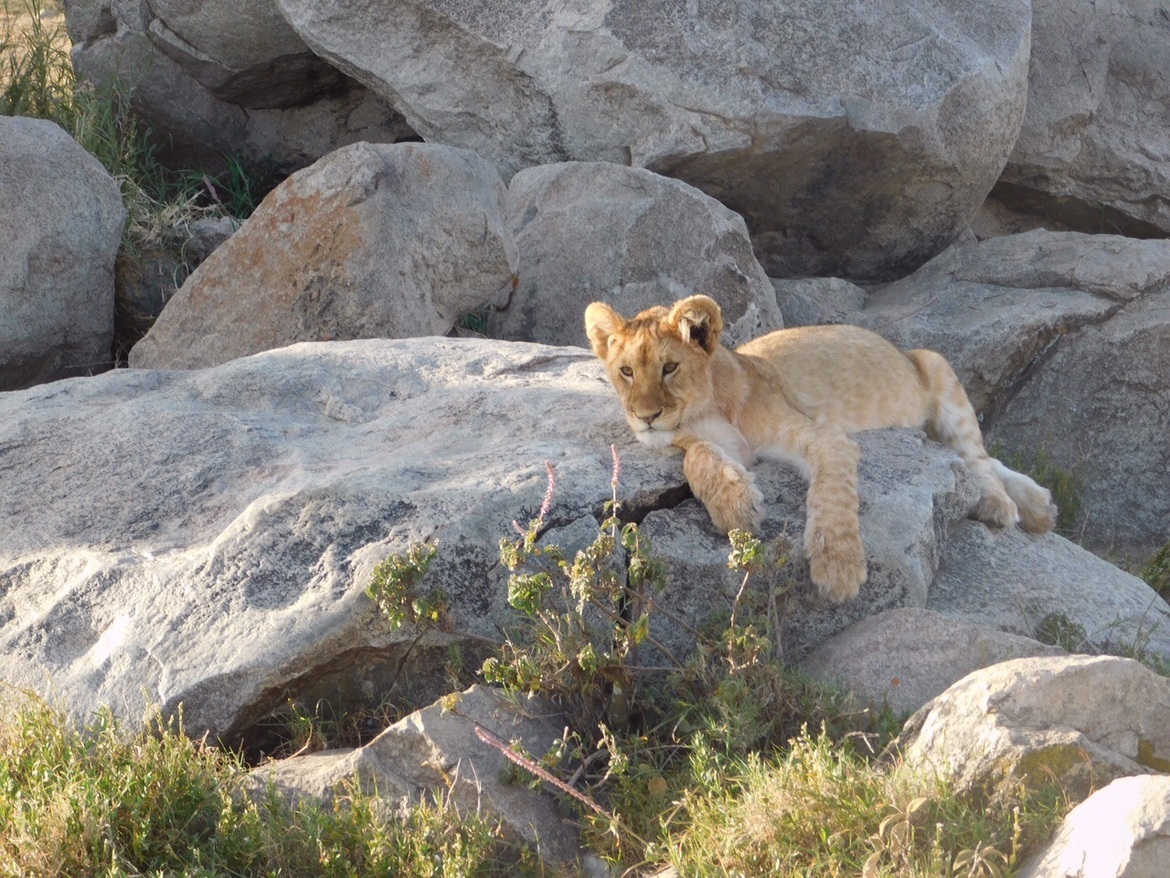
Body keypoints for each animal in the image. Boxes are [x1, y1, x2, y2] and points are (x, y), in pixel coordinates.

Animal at [584, 295, 1057, 603]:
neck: (706, 408)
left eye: (669, 368)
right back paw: (1039, 505)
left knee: (976, 456)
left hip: (936, 364)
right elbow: (696, 458)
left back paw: (1003, 504)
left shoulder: (825, 436)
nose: (645, 416)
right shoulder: (705, 443)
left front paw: (839, 567)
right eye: (626, 372)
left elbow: (832, 493)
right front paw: (737, 506)